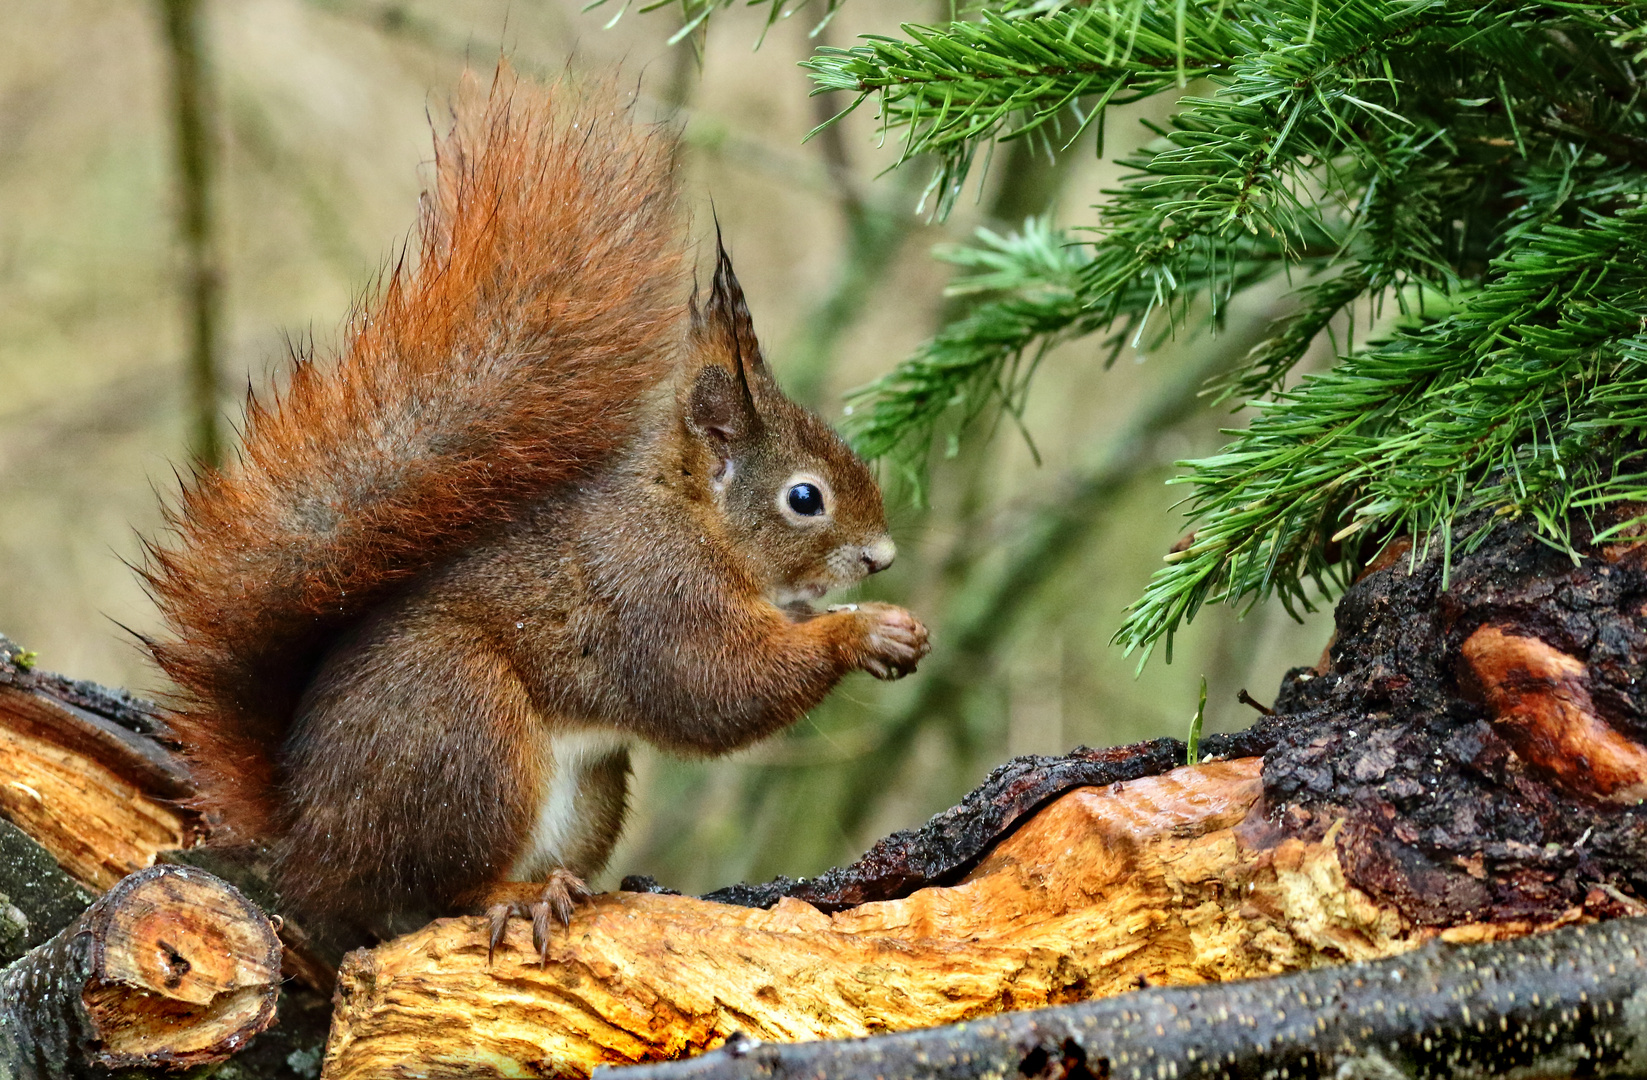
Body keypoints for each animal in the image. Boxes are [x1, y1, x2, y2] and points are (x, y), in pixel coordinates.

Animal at [141, 67, 928, 954]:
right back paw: (514, 896)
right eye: (804, 498)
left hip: (587, 790)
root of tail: (306, 848)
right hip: (463, 734)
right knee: (435, 893)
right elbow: (716, 690)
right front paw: (861, 632)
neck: (689, 519)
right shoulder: (652, 597)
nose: (881, 557)